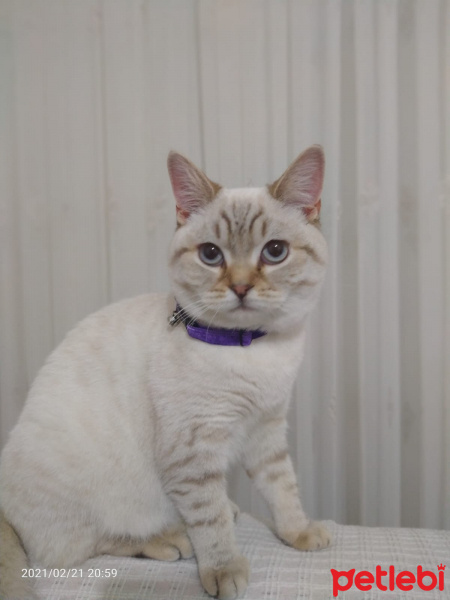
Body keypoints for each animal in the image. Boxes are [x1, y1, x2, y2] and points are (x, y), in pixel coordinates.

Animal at [0, 146, 330, 600]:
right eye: (211, 255)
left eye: (275, 251)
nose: (241, 287)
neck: (251, 348)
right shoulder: (192, 452)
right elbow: (209, 521)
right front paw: (224, 571)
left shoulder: (266, 427)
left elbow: (282, 488)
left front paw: (299, 533)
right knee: (78, 548)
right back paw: (170, 539)